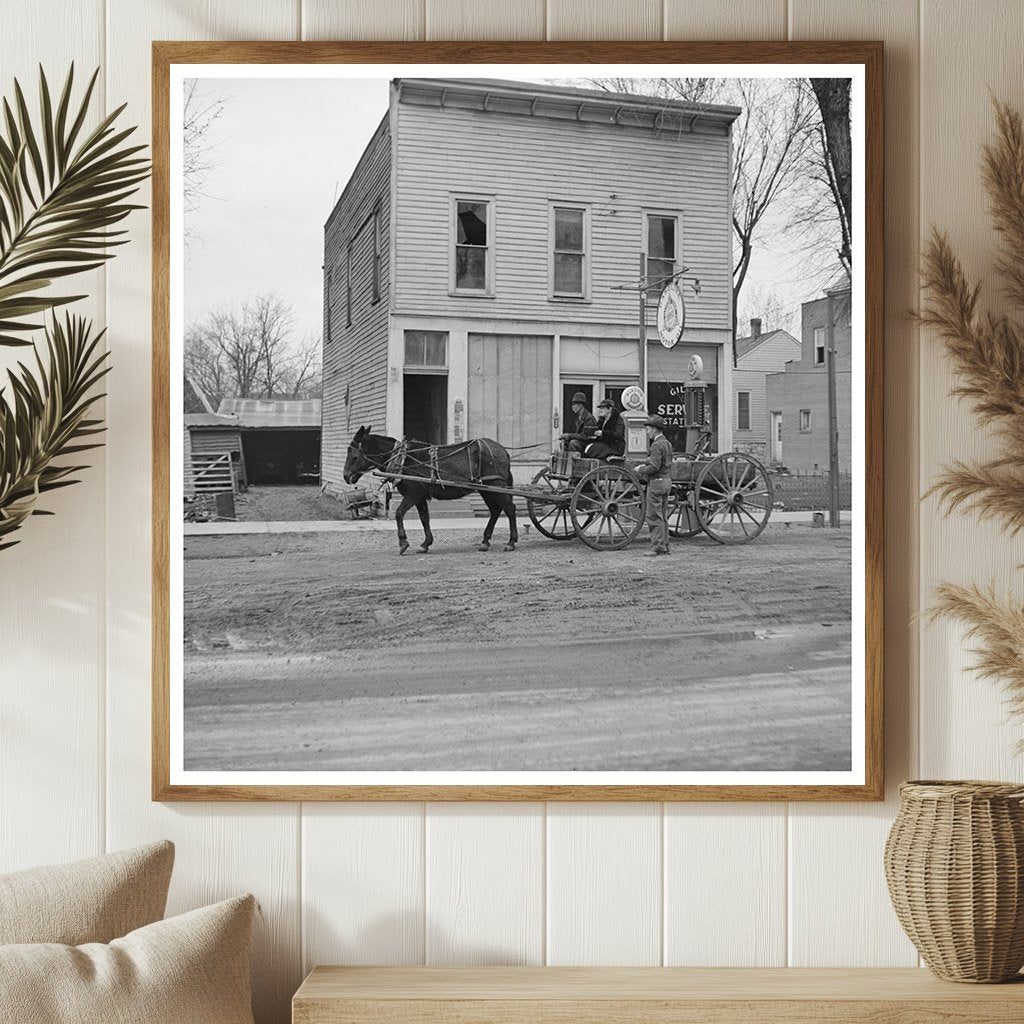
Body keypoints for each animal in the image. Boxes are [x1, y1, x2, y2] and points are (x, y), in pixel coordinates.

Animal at [344, 428, 520, 557]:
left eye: (354, 455)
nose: (346, 476)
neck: (402, 459)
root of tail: (503, 450)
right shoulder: (420, 497)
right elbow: (424, 519)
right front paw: (425, 544)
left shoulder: (413, 494)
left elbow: (399, 513)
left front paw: (403, 543)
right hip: (487, 489)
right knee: (496, 510)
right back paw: (485, 541)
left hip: (495, 484)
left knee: (510, 509)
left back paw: (511, 542)